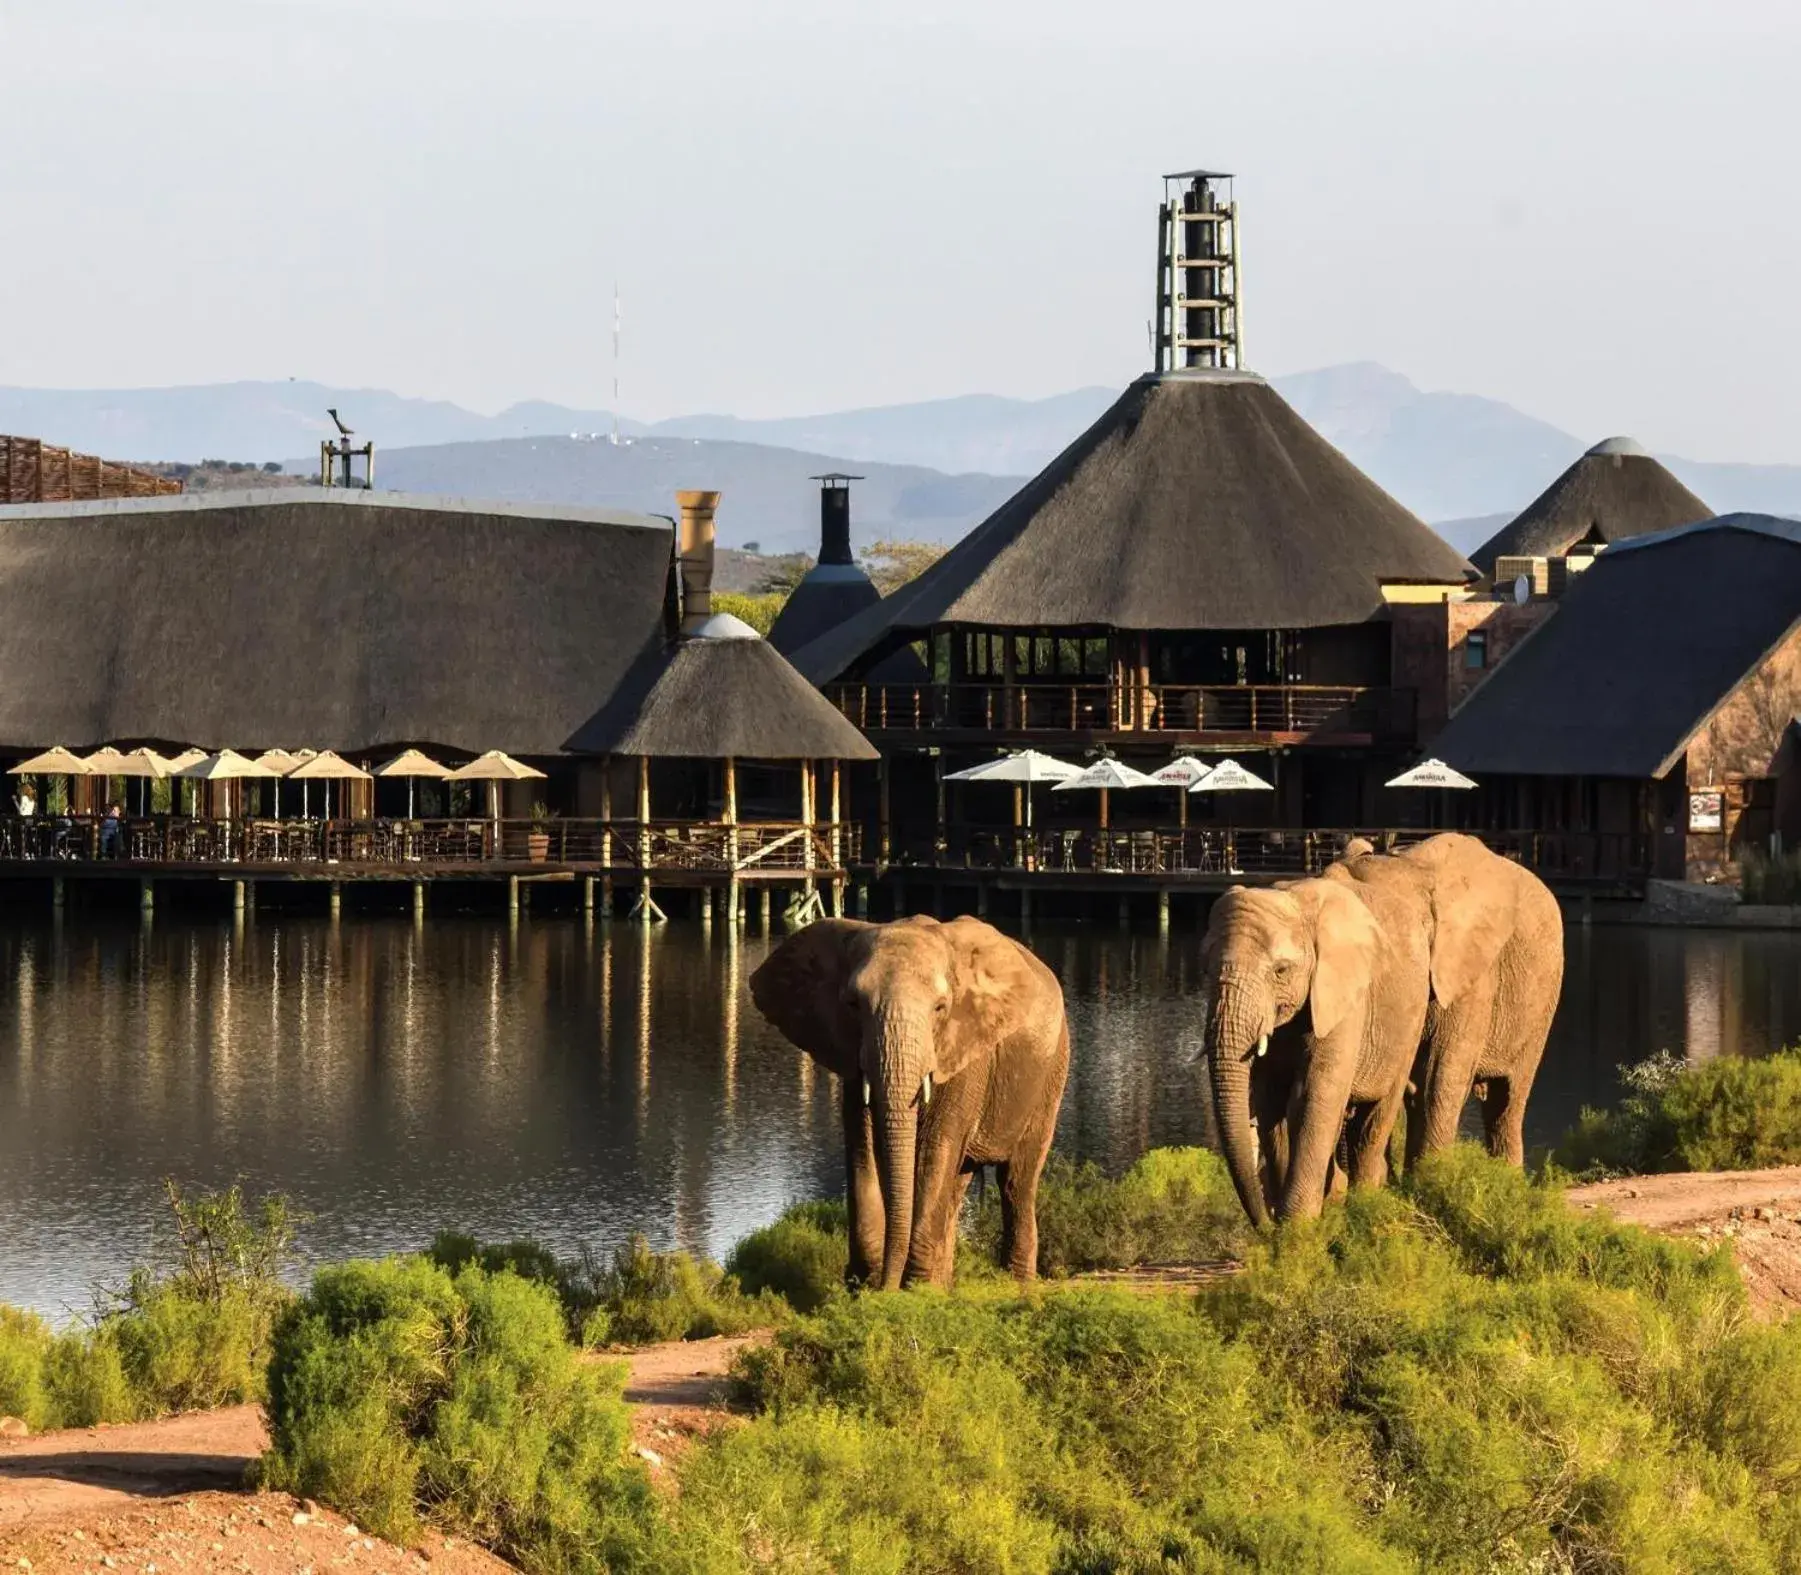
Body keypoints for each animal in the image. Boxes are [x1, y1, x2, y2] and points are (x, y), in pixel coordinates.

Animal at [745, 910, 1066, 1296]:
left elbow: (934, 1151)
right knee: (959, 1183)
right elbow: (862, 1147)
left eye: (941, 1008)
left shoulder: (966, 1052)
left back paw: (1015, 1286)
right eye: (852, 1004)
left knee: (1017, 1180)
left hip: (1052, 1071)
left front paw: (916, 1291)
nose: (888, 1286)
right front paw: (866, 1286)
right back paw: (947, 1283)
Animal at [1195, 856, 1433, 1224]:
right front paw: (1286, 1221)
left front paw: (1297, 1225)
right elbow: (1271, 1099)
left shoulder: (1344, 996)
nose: (1263, 1223)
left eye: (1280, 971)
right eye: (1205, 969)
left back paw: (1363, 1203)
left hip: (1412, 1017)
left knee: (1374, 1119)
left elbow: (1313, 1094)